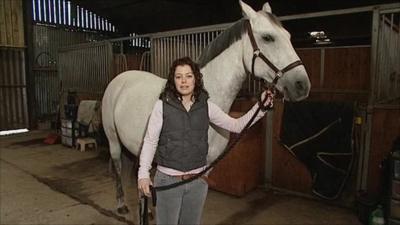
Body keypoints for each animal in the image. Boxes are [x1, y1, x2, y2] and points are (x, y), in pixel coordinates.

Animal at [101, 0, 310, 214]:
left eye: (288, 36)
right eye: (268, 37)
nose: (302, 85)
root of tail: (121, 78)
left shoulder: (205, 170)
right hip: (114, 140)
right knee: (118, 167)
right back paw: (122, 205)